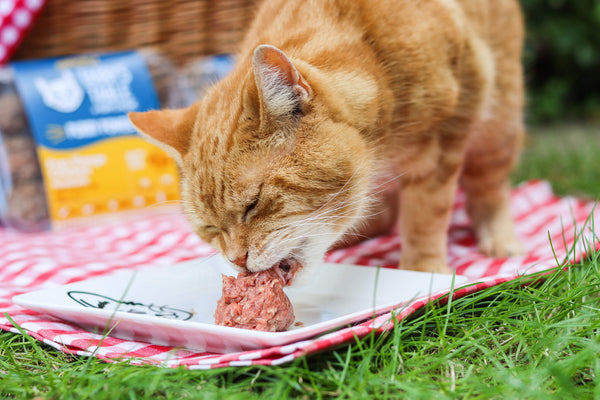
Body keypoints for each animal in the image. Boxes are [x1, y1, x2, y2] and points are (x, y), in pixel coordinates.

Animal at [129, 0, 524, 276]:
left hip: (499, 117)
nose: (237, 261)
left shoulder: (446, 139)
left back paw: (498, 235)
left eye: (253, 205)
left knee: (488, 183)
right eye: (210, 228)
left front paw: (422, 267)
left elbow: (427, 211)